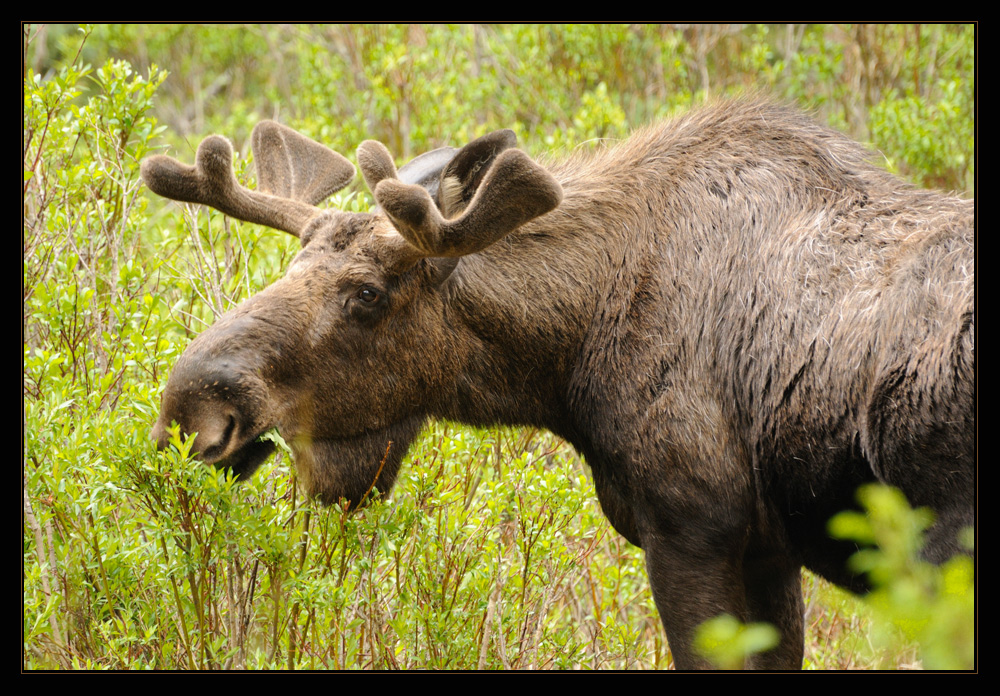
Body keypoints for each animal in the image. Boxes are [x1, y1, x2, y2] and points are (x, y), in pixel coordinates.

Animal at [145, 99, 972, 668]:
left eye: (368, 295)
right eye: (291, 268)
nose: (192, 409)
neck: (573, 354)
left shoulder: (691, 529)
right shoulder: (768, 549)